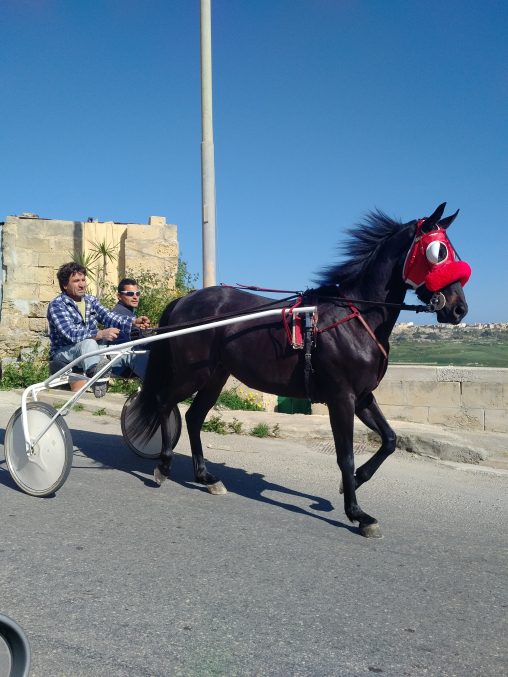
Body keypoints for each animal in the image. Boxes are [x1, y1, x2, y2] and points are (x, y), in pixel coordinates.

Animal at [129, 203, 470, 536]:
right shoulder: (341, 398)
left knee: (193, 416)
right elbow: (345, 456)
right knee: (164, 402)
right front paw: (357, 513)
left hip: (215, 376)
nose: (459, 309)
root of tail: (185, 299)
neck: (355, 317)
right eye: (438, 251)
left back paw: (205, 477)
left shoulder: (362, 397)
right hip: (191, 374)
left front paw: (355, 482)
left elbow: (389, 440)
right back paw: (163, 466)